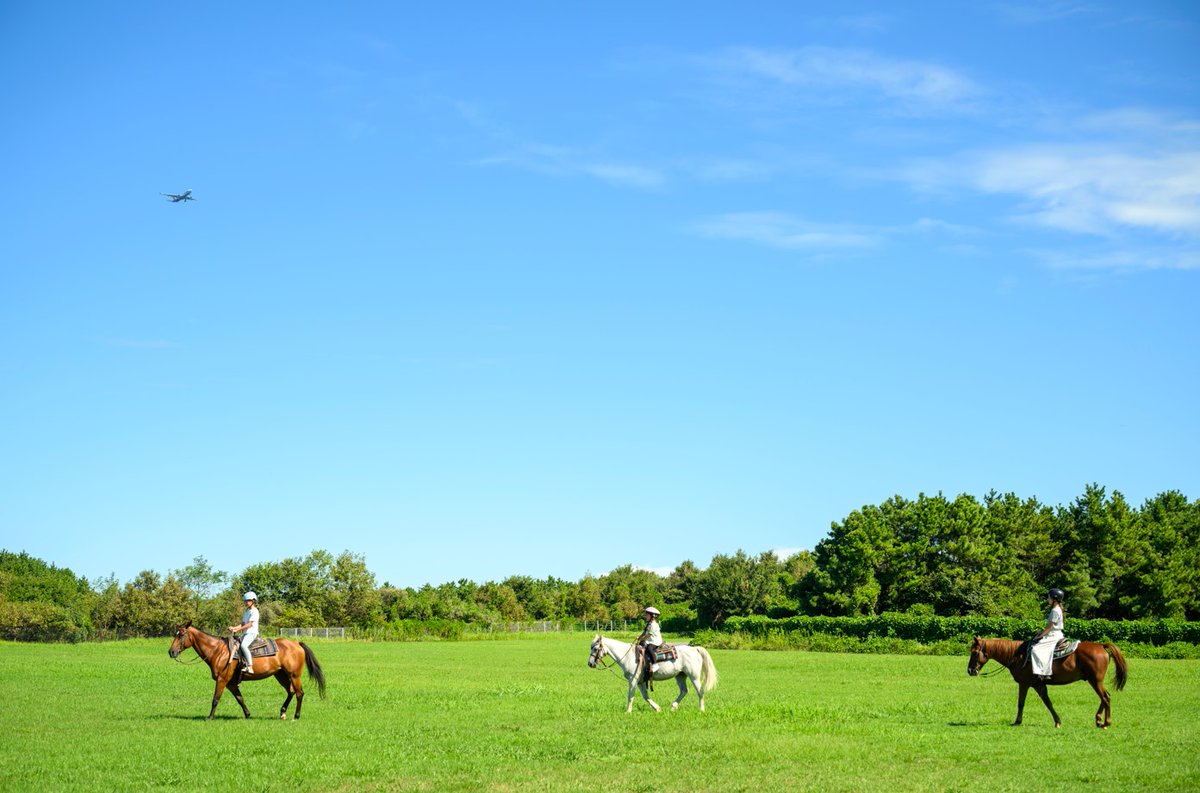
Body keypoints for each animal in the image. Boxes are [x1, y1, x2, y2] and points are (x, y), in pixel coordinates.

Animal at [168, 622, 327, 720]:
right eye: (175, 634)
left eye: (181, 635)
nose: (171, 652)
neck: (218, 651)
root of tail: (297, 644)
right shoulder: (231, 683)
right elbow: (240, 699)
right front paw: (247, 714)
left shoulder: (222, 680)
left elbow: (215, 699)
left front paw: (209, 717)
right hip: (280, 675)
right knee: (291, 691)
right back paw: (282, 713)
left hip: (294, 675)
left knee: (299, 693)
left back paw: (296, 716)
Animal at [588, 634, 718, 713]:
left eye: (595, 648)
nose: (590, 664)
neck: (628, 656)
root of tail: (694, 648)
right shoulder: (640, 682)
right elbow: (645, 696)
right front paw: (657, 708)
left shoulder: (633, 679)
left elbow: (630, 695)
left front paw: (628, 711)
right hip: (680, 675)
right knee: (684, 691)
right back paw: (673, 707)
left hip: (693, 676)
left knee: (700, 691)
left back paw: (701, 709)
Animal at [967, 635, 1127, 728]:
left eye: (974, 652)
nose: (970, 670)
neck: (1017, 656)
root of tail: (1101, 646)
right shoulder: (1038, 684)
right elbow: (1048, 702)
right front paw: (1057, 721)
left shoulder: (1024, 684)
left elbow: (1021, 703)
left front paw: (1017, 721)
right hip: (1094, 681)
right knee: (1105, 697)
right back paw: (1099, 720)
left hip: (1095, 681)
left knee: (1105, 697)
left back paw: (1106, 723)